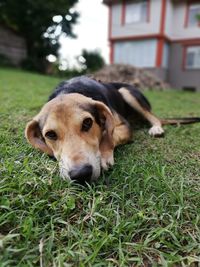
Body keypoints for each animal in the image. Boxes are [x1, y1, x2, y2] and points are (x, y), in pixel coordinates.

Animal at [25, 76, 200, 183]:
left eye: (87, 123)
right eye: (50, 135)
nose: (80, 174)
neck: (70, 90)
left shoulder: (124, 127)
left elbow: (109, 136)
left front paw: (104, 155)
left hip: (127, 92)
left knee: (154, 118)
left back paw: (156, 128)